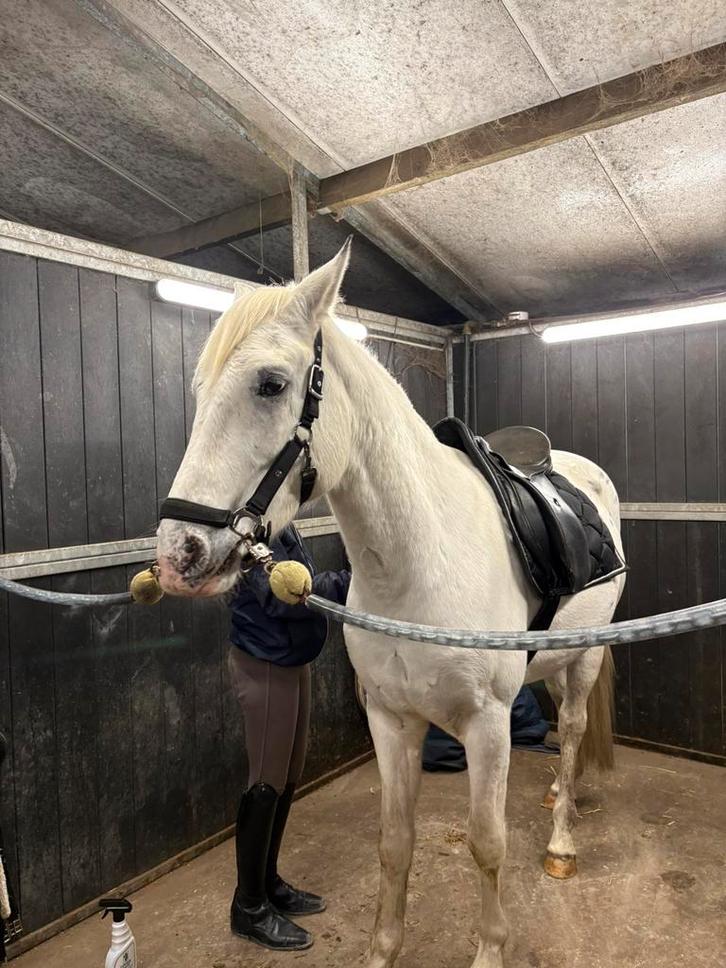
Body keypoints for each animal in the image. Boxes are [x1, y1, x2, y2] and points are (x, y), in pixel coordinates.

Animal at [156, 242, 626, 968]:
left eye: (270, 384)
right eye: (200, 391)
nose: (177, 552)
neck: (418, 563)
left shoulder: (487, 725)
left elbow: (487, 844)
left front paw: (491, 948)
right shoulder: (391, 719)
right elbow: (394, 843)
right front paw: (383, 950)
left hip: (587, 656)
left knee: (572, 730)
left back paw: (561, 841)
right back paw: (557, 796)